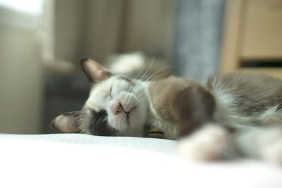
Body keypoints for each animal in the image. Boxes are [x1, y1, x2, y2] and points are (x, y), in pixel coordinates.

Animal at [51, 58, 282, 165]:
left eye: (111, 91)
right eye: (101, 118)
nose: (117, 107)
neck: (155, 120)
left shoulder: (185, 92)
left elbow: (194, 114)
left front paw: (198, 141)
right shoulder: (233, 128)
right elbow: (246, 137)